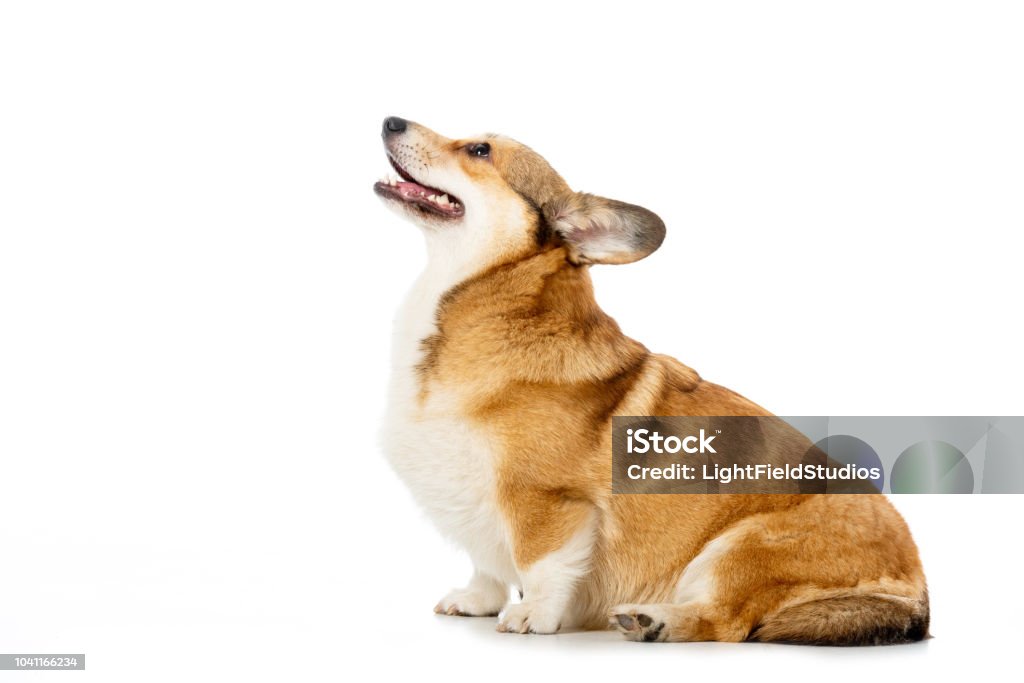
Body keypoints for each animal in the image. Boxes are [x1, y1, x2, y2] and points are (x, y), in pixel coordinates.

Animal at [374, 114, 929, 643]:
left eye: (479, 150)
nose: (390, 121)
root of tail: (918, 592)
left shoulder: (545, 502)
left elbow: (541, 563)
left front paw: (534, 614)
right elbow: (486, 563)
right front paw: (477, 598)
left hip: (740, 547)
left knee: (724, 623)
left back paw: (653, 621)